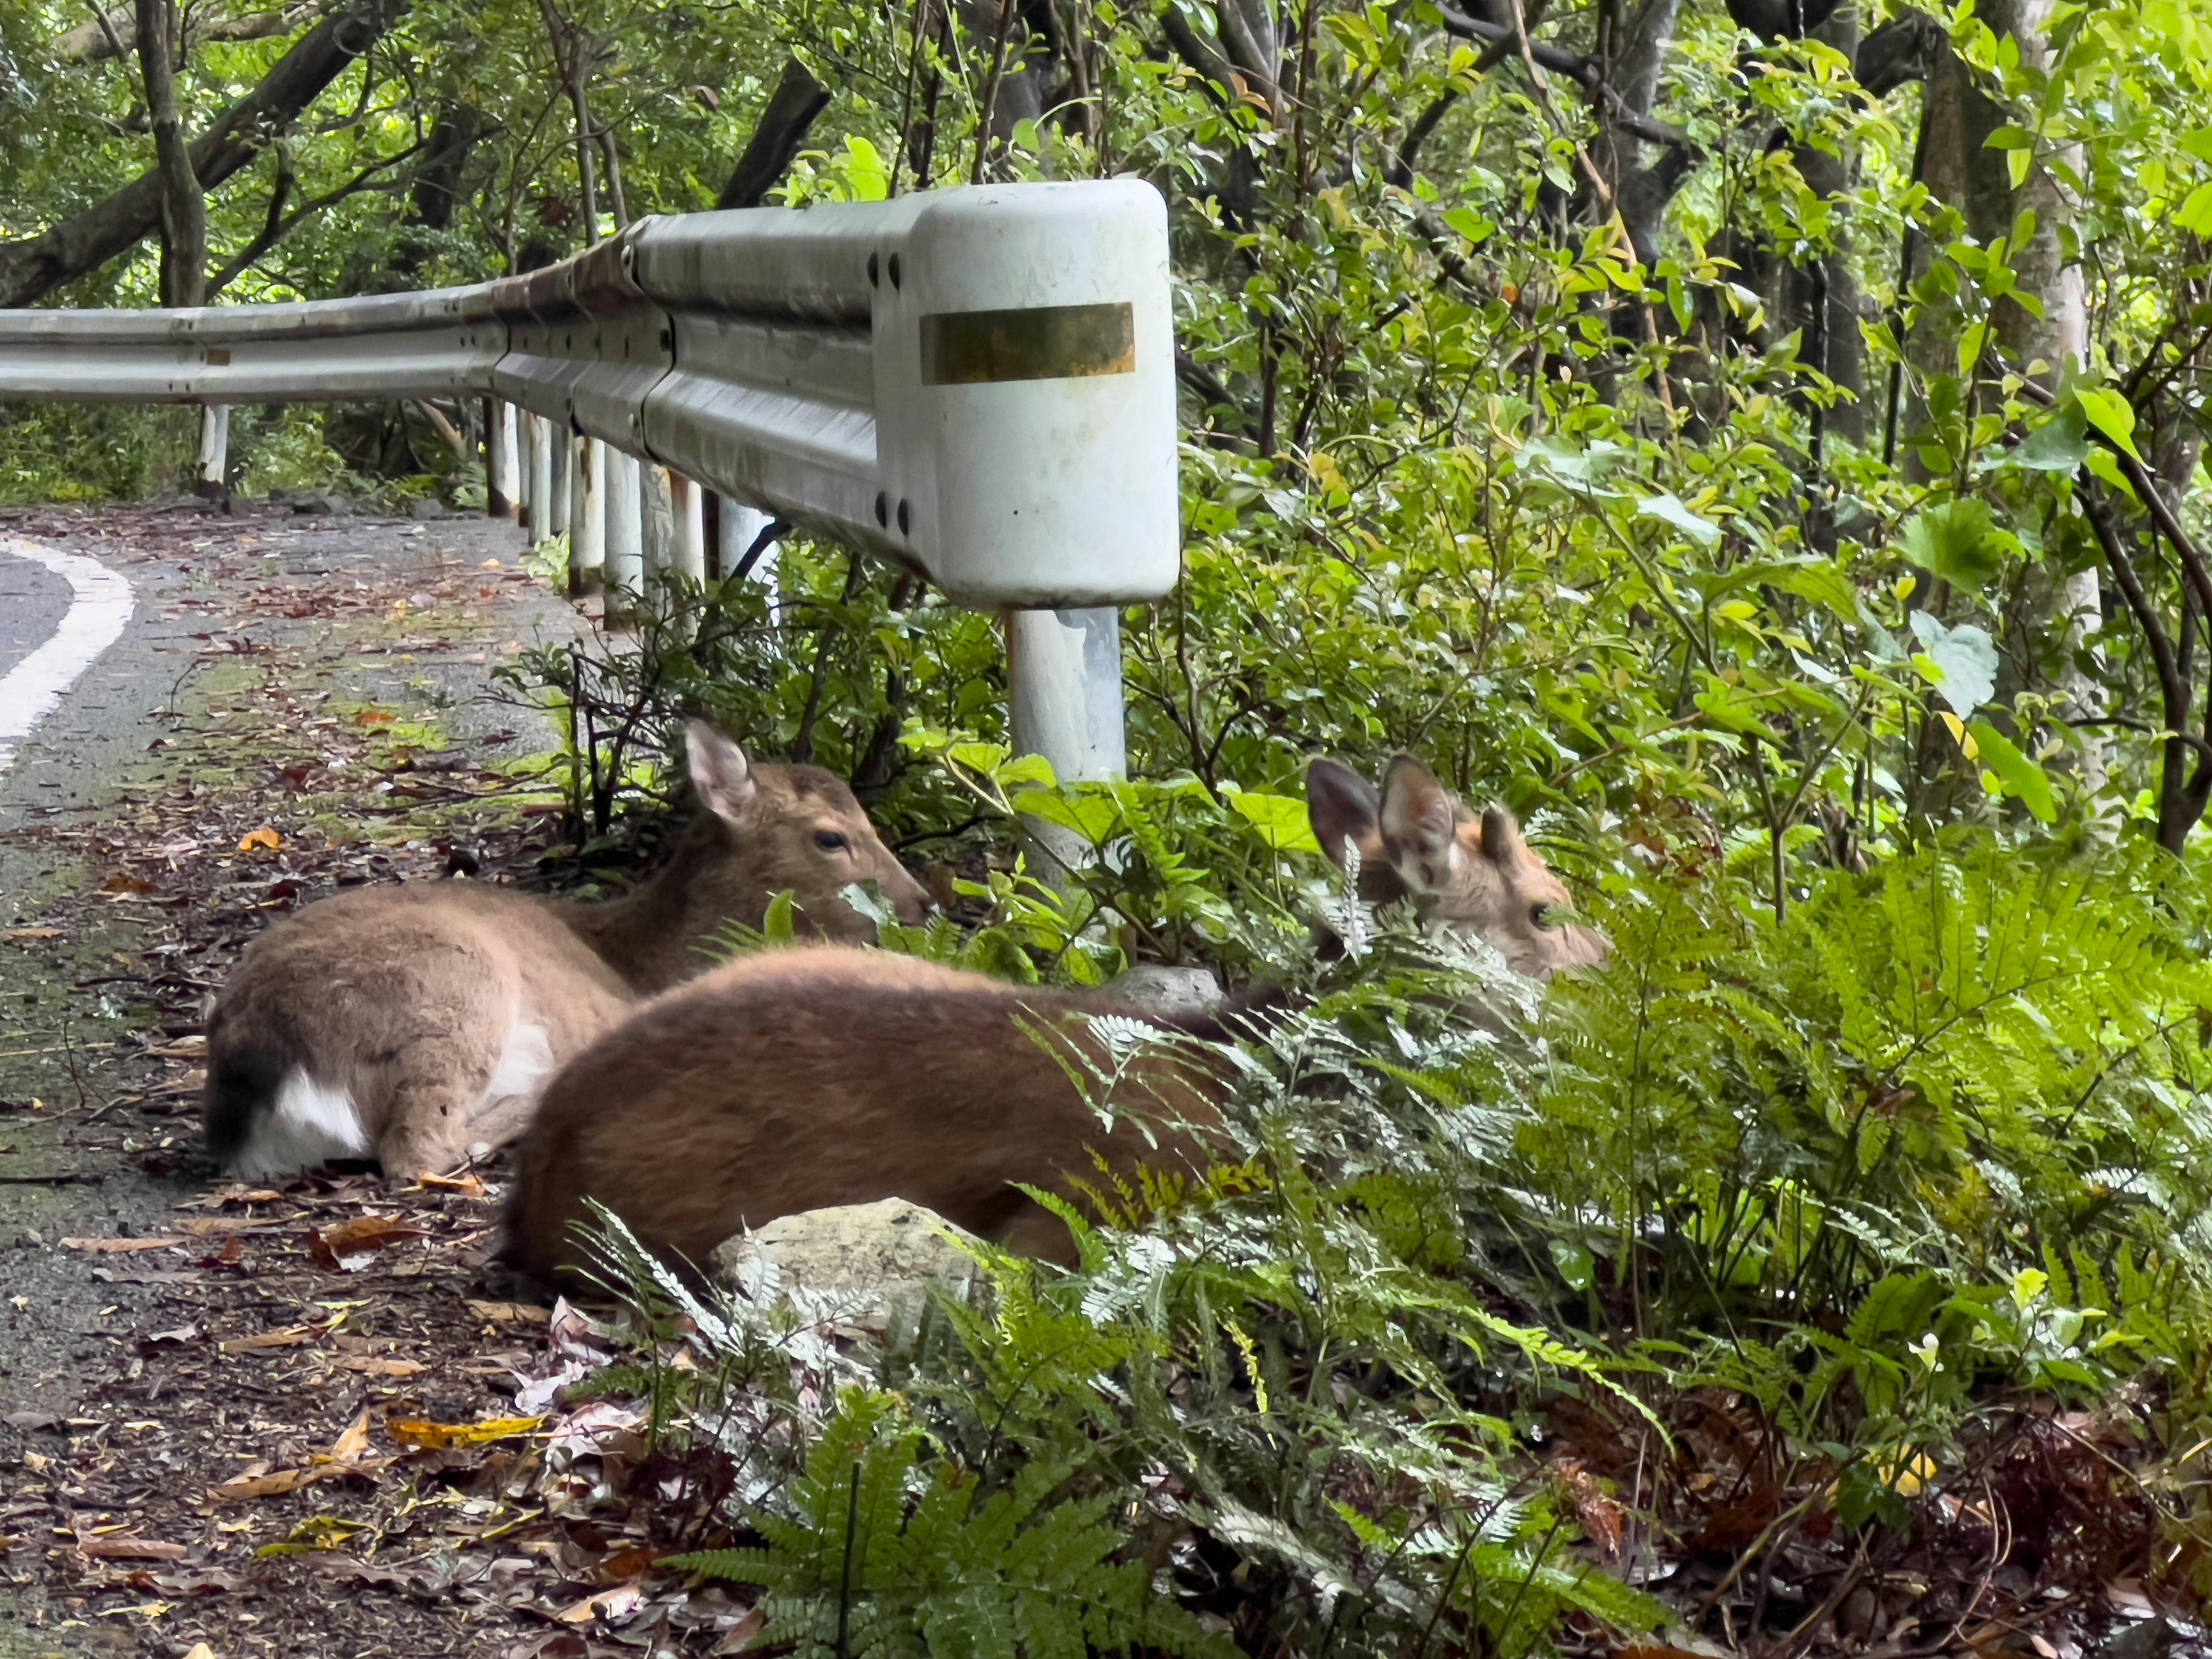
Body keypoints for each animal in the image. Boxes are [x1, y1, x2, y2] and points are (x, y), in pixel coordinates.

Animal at [201, 725, 933, 1185]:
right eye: (831, 838)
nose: (925, 903)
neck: (642, 961)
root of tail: (259, 1051)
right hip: (456, 989)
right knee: (419, 1148)